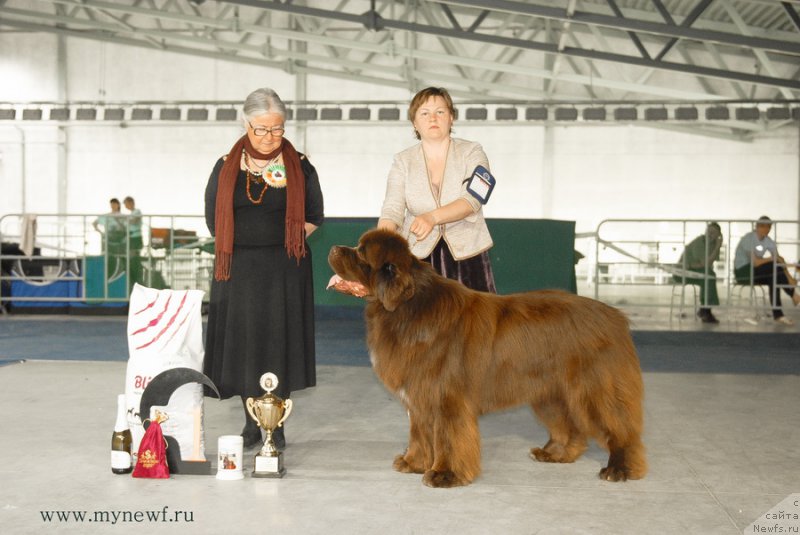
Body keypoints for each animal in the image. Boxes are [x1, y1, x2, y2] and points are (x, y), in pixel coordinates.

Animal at [328, 230, 648, 490]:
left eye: (360, 253)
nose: (332, 248)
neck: (408, 308)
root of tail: (615, 317)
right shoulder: (420, 397)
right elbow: (419, 433)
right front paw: (413, 463)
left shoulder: (446, 398)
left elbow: (447, 437)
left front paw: (444, 475)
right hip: (550, 393)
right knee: (569, 427)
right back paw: (554, 454)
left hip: (594, 390)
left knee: (620, 428)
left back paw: (620, 469)